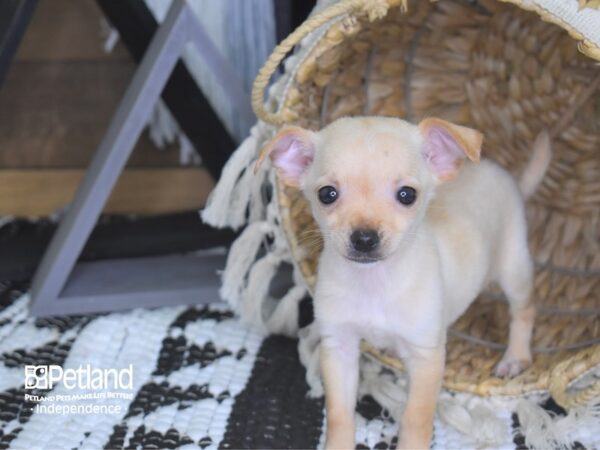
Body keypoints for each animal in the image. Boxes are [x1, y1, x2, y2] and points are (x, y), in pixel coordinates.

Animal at [256, 117, 548, 450]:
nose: (364, 238)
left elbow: (415, 418)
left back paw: (516, 358)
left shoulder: (426, 358)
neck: (374, 282)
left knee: (524, 310)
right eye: (327, 194)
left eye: (407, 195)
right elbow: (340, 414)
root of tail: (506, 176)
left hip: (514, 268)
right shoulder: (339, 348)